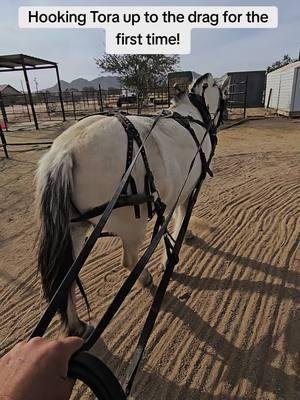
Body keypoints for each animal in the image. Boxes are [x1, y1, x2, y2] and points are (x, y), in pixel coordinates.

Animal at [35, 73, 230, 336]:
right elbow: (181, 215)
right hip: (132, 225)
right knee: (129, 261)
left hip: (74, 228)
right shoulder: (191, 187)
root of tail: (64, 152)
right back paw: (144, 277)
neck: (193, 117)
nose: (225, 115)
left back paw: (76, 325)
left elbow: (173, 215)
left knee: (66, 278)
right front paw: (174, 249)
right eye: (222, 92)